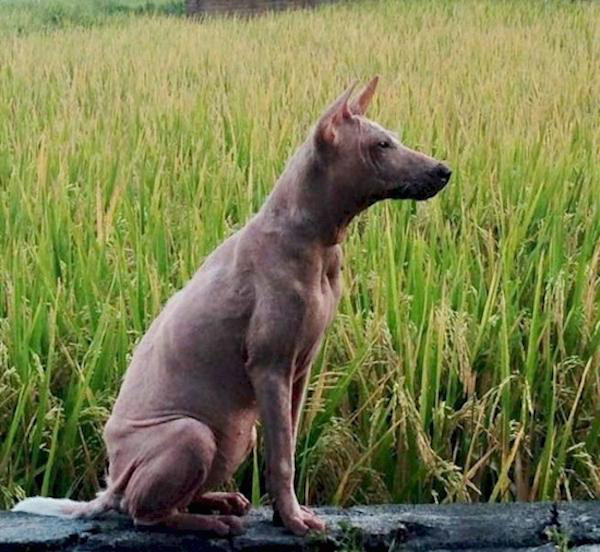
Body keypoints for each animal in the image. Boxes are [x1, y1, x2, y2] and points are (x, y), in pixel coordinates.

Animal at [14, 77, 450, 536]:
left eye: (394, 139)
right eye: (382, 145)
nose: (444, 171)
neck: (316, 238)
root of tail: (109, 484)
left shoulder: (299, 370)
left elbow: (288, 442)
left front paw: (285, 513)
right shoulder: (270, 366)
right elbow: (283, 457)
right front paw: (293, 520)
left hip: (234, 435)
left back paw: (219, 501)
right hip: (191, 433)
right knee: (143, 513)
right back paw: (209, 523)